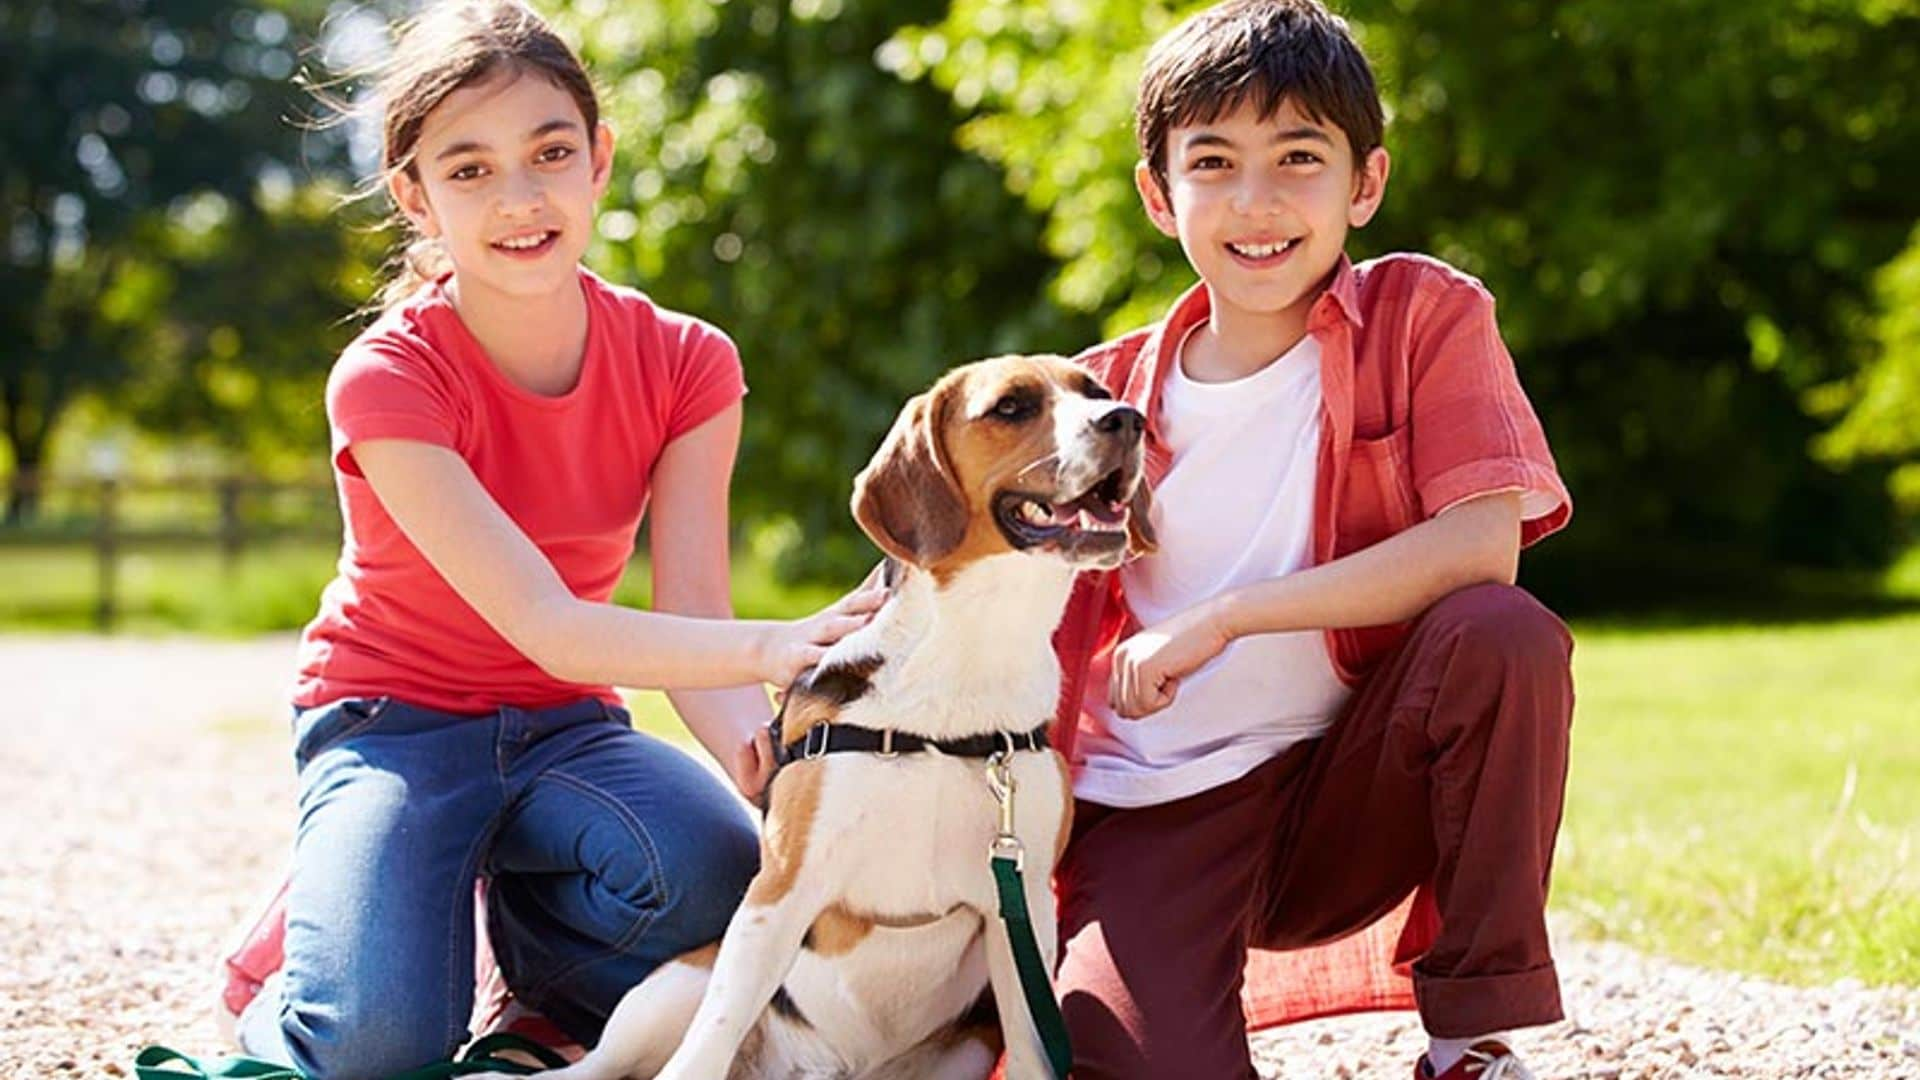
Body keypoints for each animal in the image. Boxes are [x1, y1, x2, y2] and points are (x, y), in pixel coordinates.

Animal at [503, 355, 1144, 1076]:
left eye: (1096, 392)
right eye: (1011, 406)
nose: (1127, 420)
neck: (970, 654)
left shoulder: (1022, 909)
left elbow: (1035, 1052)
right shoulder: (780, 892)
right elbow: (710, 1039)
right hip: (681, 985)